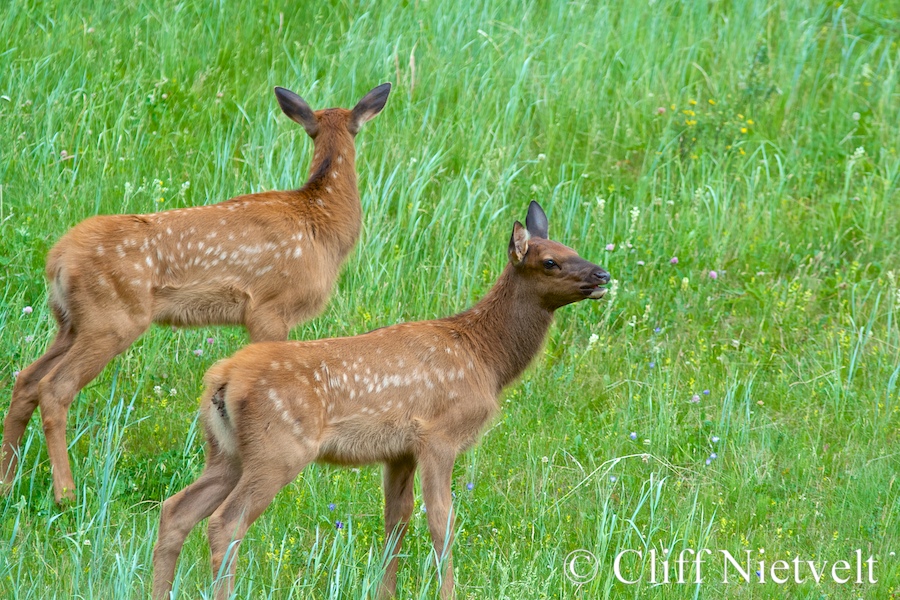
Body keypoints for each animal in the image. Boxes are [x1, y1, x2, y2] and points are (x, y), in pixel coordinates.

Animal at [0, 81, 394, 502]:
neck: (319, 224)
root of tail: (57, 259)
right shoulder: (269, 308)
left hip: (70, 322)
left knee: (26, 379)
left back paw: (8, 482)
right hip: (111, 319)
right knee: (55, 388)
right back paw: (66, 494)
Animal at [153, 203, 612, 600]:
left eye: (573, 249)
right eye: (550, 261)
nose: (603, 274)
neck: (485, 357)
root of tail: (223, 378)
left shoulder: (400, 452)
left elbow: (397, 521)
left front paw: (384, 592)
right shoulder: (440, 436)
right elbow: (441, 522)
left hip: (226, 451)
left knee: (176, 509)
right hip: (278, 449)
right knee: (225, 522)